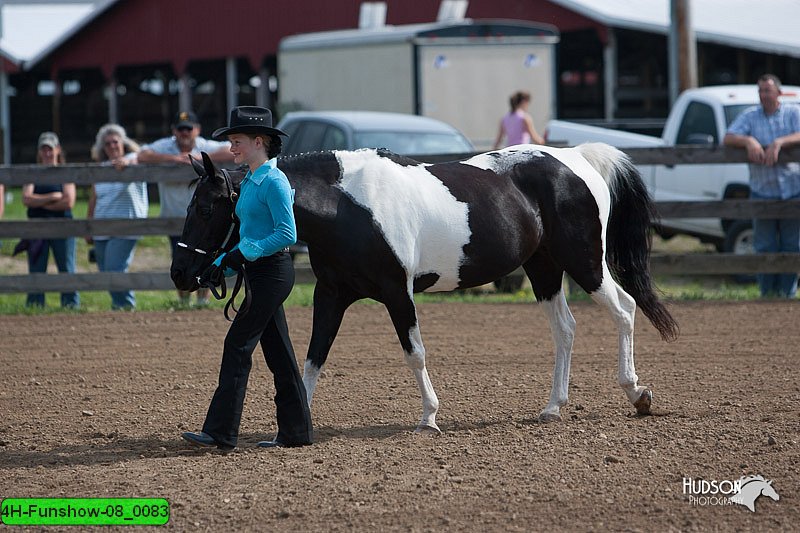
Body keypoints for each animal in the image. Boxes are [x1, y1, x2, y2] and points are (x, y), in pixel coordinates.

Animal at [172, 142, 680, 432]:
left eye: (206, 208)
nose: (180, 273)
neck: (348, 206)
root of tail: (577, 159)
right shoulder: (331, 295)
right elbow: (313, 358)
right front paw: (299, 422)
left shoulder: (398, 293)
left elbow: (414, 352)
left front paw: (430, 418)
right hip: (544, 269)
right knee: (566, 330)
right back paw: (553, 407)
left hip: (585, 263)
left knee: (625, 309)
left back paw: (637, 394)